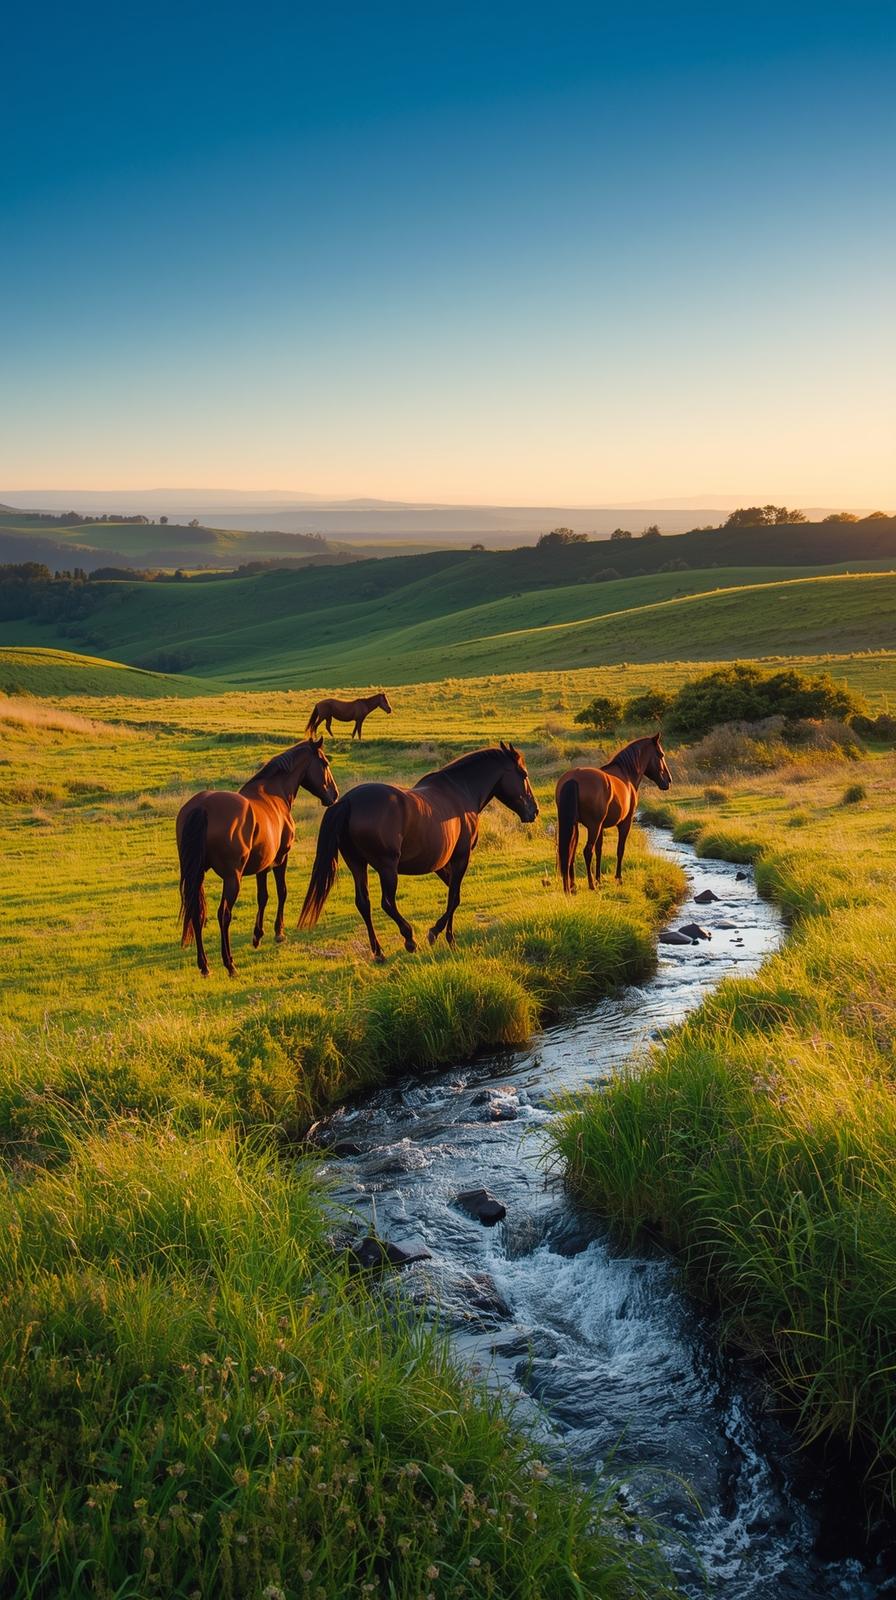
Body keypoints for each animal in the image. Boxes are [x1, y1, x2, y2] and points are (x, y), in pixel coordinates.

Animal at [177, 737, 338, 976]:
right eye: (325, 763)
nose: (334, 795)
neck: (274, 794)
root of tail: (202, 807)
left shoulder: (263, 865)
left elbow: (263, 896)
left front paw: (257, 935)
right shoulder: (281, 859)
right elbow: (281, 892)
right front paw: (279, 932)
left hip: (197, 876)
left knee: (196, 913)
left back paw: (204, 966)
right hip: (232, 878)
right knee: (224, 914)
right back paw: (229, 964)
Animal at [298, 742, 538, 961]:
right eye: (524, 774)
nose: (534, 811)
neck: (461, 791)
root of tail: (348, 802)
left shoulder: (441, 864)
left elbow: (454, 895)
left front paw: (445, 936)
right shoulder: (461, 858)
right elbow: (454, 897)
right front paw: (440, 935)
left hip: (356, 863)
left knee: (363, 903)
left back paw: (379, 952)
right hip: (387, 867)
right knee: (387, 903)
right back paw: (409, 939)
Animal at [556, 733, 671, 894]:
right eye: (661, 754)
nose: (668, 780)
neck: (626, 775)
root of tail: (574, 778)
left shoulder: (601, 827)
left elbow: (599, 850)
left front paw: (599, 879)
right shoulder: (624, 823)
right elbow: (620, 849)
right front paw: (618, 878)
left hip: (574, 825)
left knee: (569, 851)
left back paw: (571, 887)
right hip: (593, 827)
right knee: (587, 851)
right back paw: (590, 885)